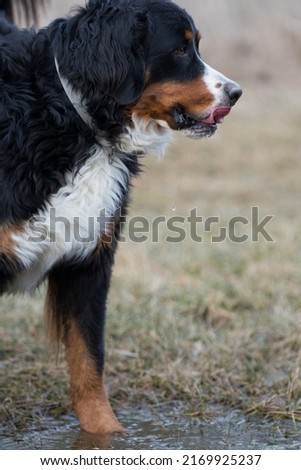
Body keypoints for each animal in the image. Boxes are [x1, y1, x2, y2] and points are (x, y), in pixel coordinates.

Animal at [0, 0, 240, 436]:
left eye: (195, 45)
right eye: (180, 50)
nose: (236, 92)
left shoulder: (90, 261)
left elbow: (88, 359)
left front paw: (106, 434)